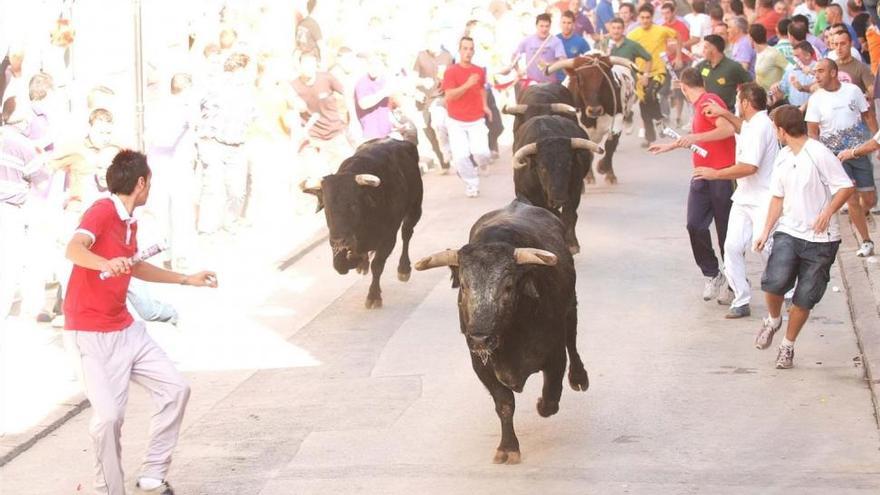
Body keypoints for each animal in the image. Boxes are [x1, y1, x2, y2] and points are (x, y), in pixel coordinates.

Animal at [300, 139, 424, 310]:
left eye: (353, 204)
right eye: (327, 207)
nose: (339, 240)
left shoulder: (388, 239)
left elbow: (377, 265)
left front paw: (373, 296)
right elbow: (339, 266)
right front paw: (357, 261)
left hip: (415, 208)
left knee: (407, 233)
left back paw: (403, 269)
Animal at [414, 200, 592, 466]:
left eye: (508, 286)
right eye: (464, 285)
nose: (480, 338)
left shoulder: (555, 355)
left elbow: (551, 397)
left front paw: (541, 404)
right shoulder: (481, 364)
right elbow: (505, 403)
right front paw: (508, 448)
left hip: (571, 308)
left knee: (572, 338)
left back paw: (579, 377)